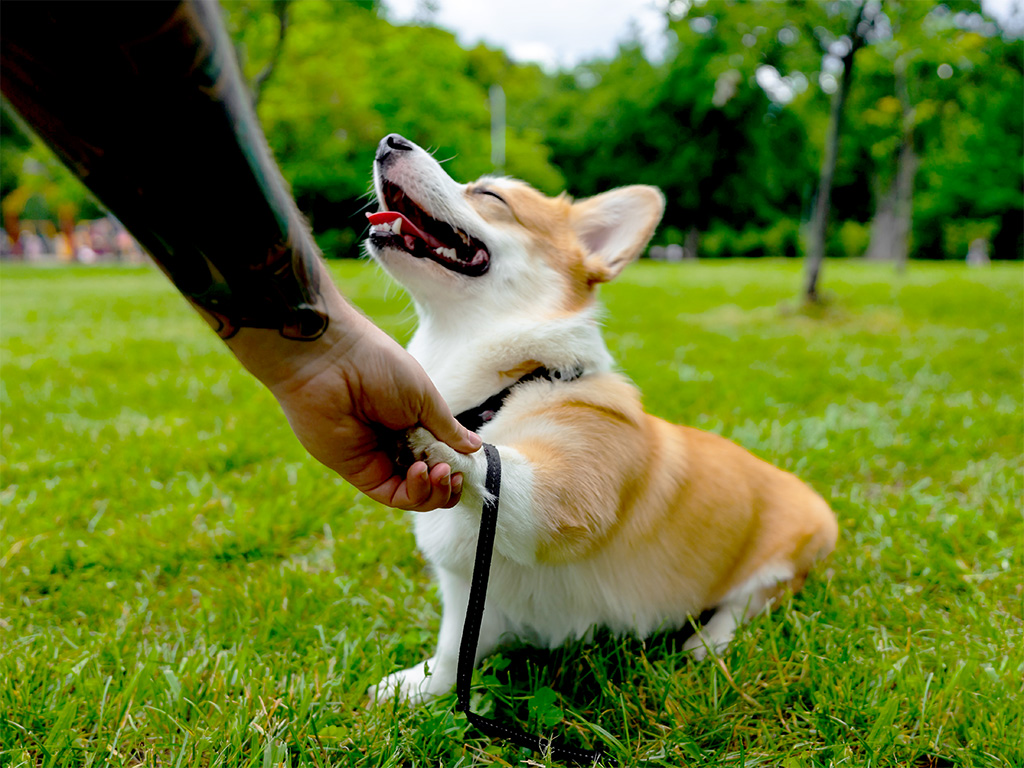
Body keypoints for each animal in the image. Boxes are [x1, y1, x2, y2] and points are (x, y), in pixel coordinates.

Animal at [364, 132, 835, 704]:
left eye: (491, 196)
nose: (390, 141)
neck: (509, 384)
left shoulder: (563, 502)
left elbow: (495, 462)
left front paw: (439, 443)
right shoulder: (469, 593)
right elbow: (455, 651)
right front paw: (415, 688)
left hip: (784, 561)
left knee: (748, 604)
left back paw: (707, 643)